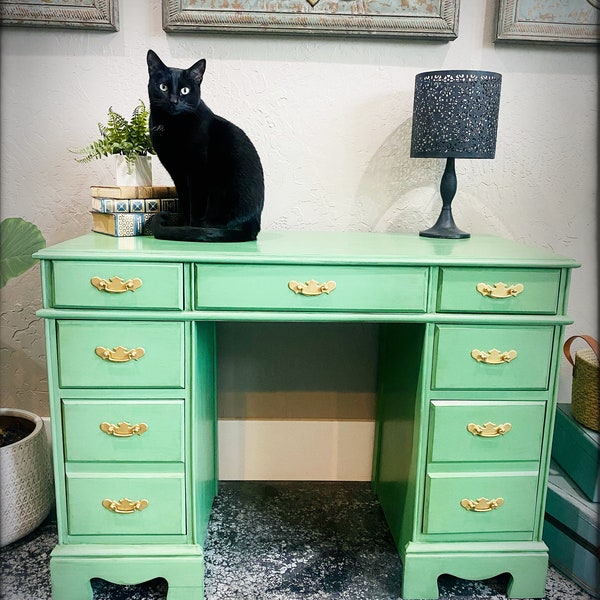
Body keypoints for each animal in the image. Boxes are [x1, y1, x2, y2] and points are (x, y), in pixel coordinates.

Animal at [146, 49, 264, 241]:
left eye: (185, 90)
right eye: (163, 87)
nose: (174, 101)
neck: (171, 124)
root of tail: (253, 227)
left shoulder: (197, 171)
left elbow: (195, 204)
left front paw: (191, 229)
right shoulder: (178, 174)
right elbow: (185, 202)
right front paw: (184, 225)